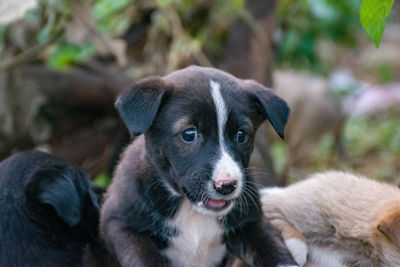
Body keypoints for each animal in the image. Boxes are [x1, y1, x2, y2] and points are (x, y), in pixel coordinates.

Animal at [101, 66, 298, 266]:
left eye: (242, 135)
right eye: (189, 134)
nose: (227, 186)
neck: (190, 210)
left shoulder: (252, 223)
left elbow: (275, 251)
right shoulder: (120, 225)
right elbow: (146, 259)